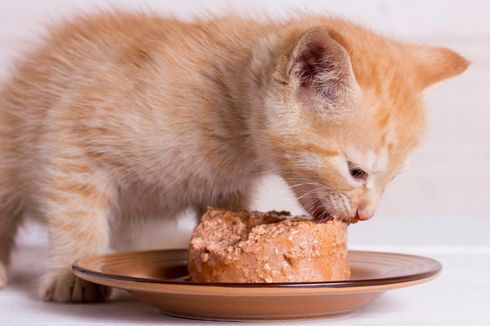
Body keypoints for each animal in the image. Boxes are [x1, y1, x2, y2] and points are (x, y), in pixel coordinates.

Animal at [0, 12, 468, 304]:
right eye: (357, 171)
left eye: (392, 180)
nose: (366, 214)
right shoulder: (71, 130)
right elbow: (77, 213)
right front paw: (70, 275)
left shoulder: (226, 187)